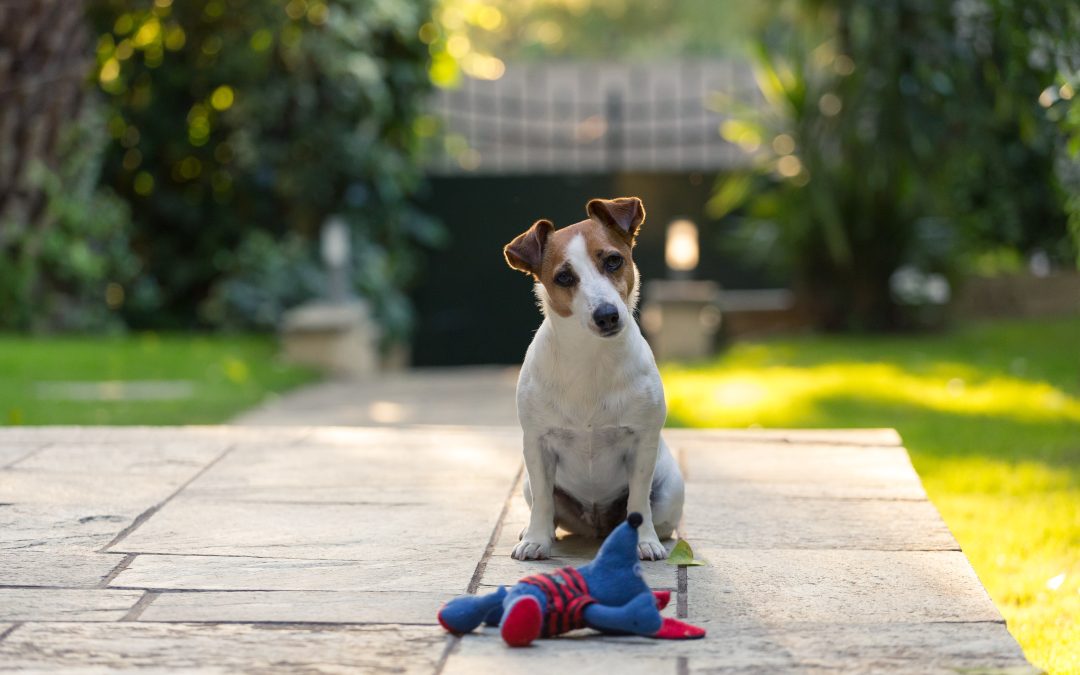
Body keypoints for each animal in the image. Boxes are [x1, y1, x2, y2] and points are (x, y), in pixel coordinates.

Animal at [498, 197, 682, 561]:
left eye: (613, 260)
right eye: (564, 277)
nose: (606, 315)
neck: (591, 358)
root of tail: (597, 527)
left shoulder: (642, 444)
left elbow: (639, 501)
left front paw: (645, 541)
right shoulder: (537, 445)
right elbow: (543, 500)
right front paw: (536, 540)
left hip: (671, 489)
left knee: (659, 516)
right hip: (528, 484)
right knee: (544, 507)